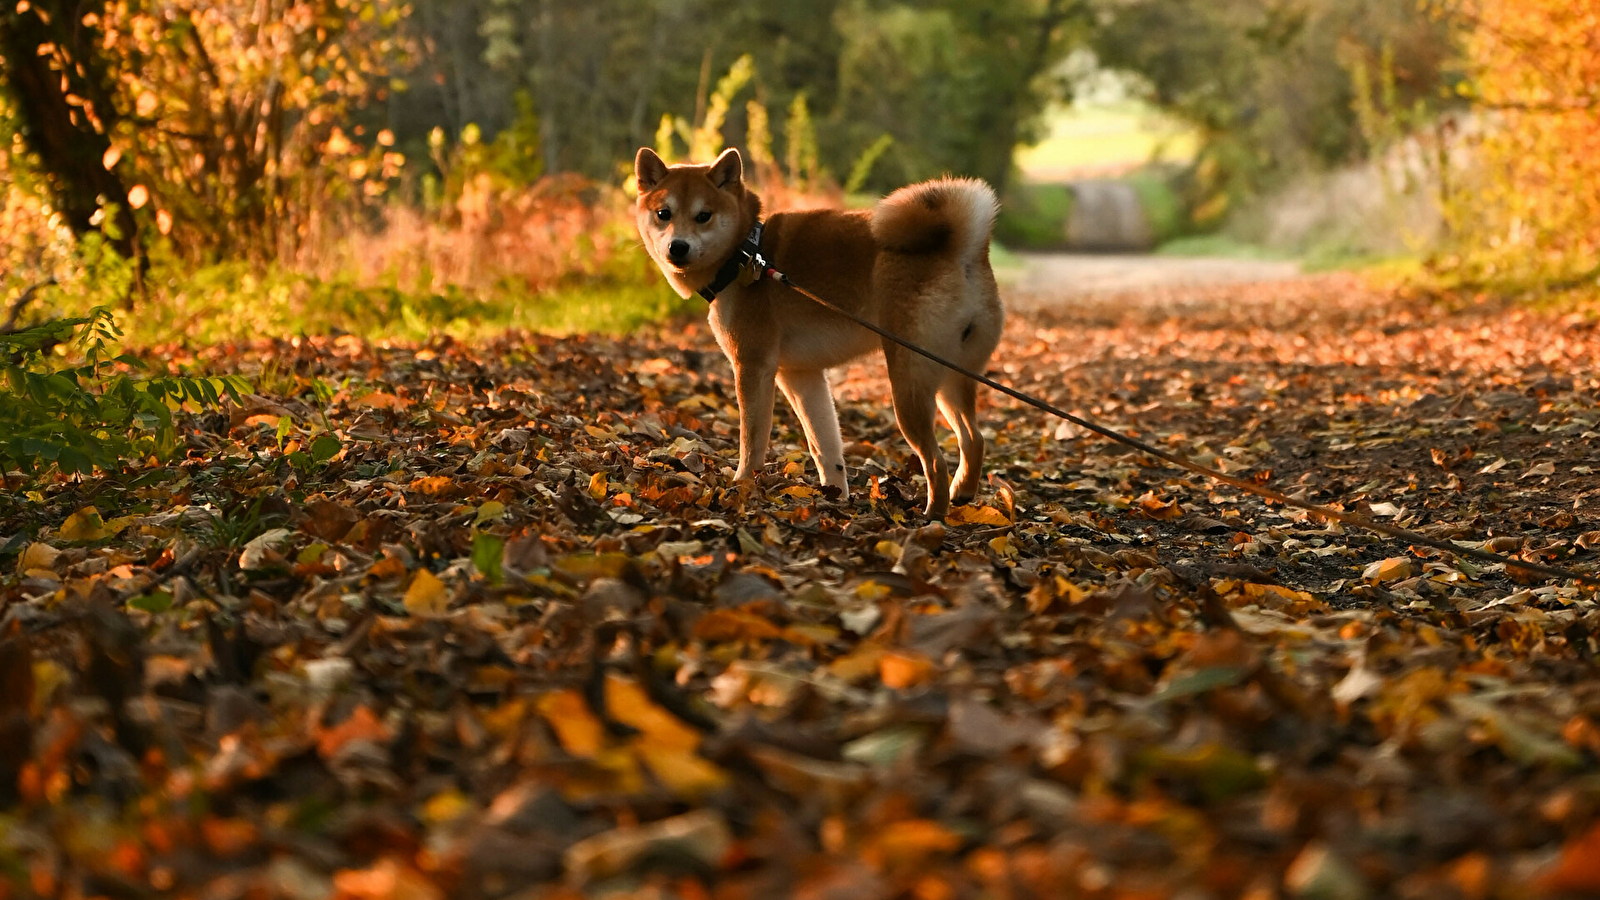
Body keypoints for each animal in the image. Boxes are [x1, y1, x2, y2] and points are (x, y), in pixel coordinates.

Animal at [633, 143, 998, 515]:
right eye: (664, 213)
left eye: (703, 215)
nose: (677, 247)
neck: (744, 255)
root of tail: (963, 250)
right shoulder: (800, 375)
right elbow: (824, 445)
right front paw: (836, 497)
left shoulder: (753, 366)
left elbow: (752, 440)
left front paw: (742, 485)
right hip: (951, 376)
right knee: (973, 439)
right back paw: (962, 493)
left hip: (910, 382)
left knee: (936, 460)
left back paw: (933, 515)